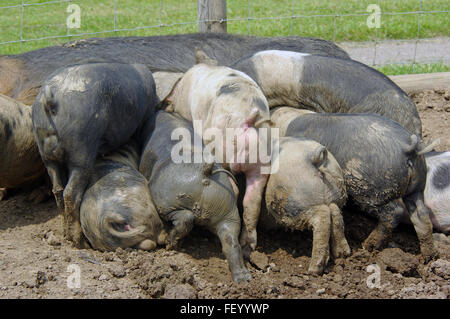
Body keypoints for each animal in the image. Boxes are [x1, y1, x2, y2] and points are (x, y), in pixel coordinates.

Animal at [32, 62, 157, 248]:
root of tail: (51, 99)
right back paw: (79, 243)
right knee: (70, 193)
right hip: (81, 148)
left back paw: (66, 235)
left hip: (47, 154)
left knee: (58, 190)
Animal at [139, 111, 251, 284]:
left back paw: (170, 244)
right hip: (228, 210)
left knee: (185, 218)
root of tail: (204, 172)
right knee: (230, 241)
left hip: (167, 201)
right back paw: (244, 279)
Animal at [258, 136, 350, 274]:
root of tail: (315, 157)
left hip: (296, 205)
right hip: (334, 196)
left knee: (322, 217)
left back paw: (313, 270)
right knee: (335, 212)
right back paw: (342, 254)